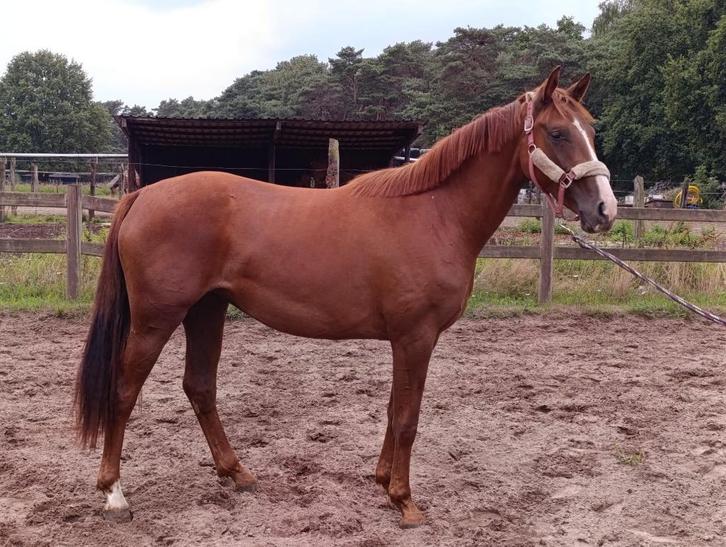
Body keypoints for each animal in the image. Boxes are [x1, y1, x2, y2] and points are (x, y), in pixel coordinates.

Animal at [75, 67, 617, 528]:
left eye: (589, 128)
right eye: (557, 133)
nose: (605, 210)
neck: (434, 214)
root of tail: (142, 195)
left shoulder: (406, 340)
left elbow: (395, 410)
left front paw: (383, 483)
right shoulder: (416, 337)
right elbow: (407, 418)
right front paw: (404, 501)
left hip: (206, 310)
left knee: (199, 387)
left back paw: (237, 472)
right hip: (156, 320)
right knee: (123, 393)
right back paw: (114, 494)